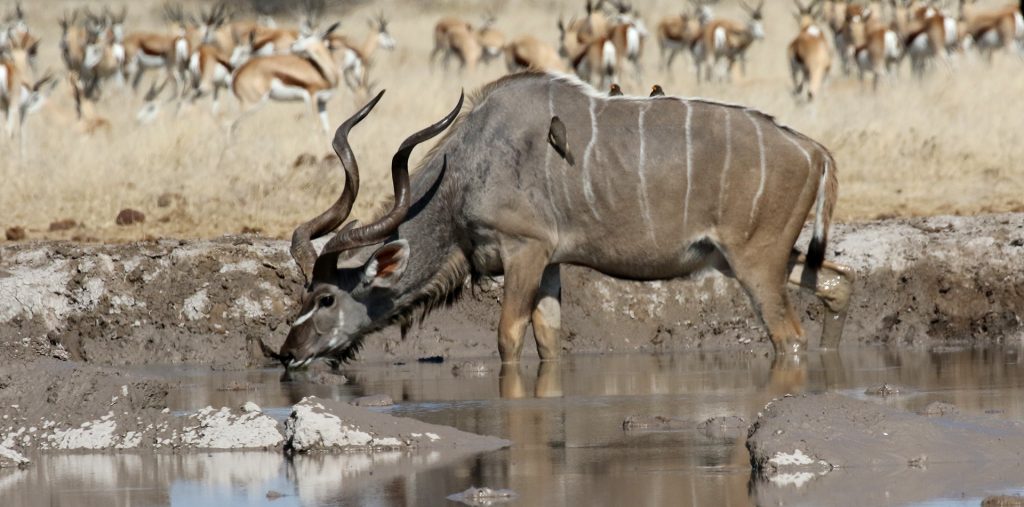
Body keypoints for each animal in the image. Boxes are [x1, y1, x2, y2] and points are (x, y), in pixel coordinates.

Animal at [278, 70, 856, 368]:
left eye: (325, 299)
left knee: (789, 335)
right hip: (755, 258)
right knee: (838, 285)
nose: (287, 353)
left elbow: (508, 337)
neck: (465, 168)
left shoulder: (524, 252)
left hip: (756, 264)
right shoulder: (550, 265)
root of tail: (813, 150)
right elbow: (549, 338)